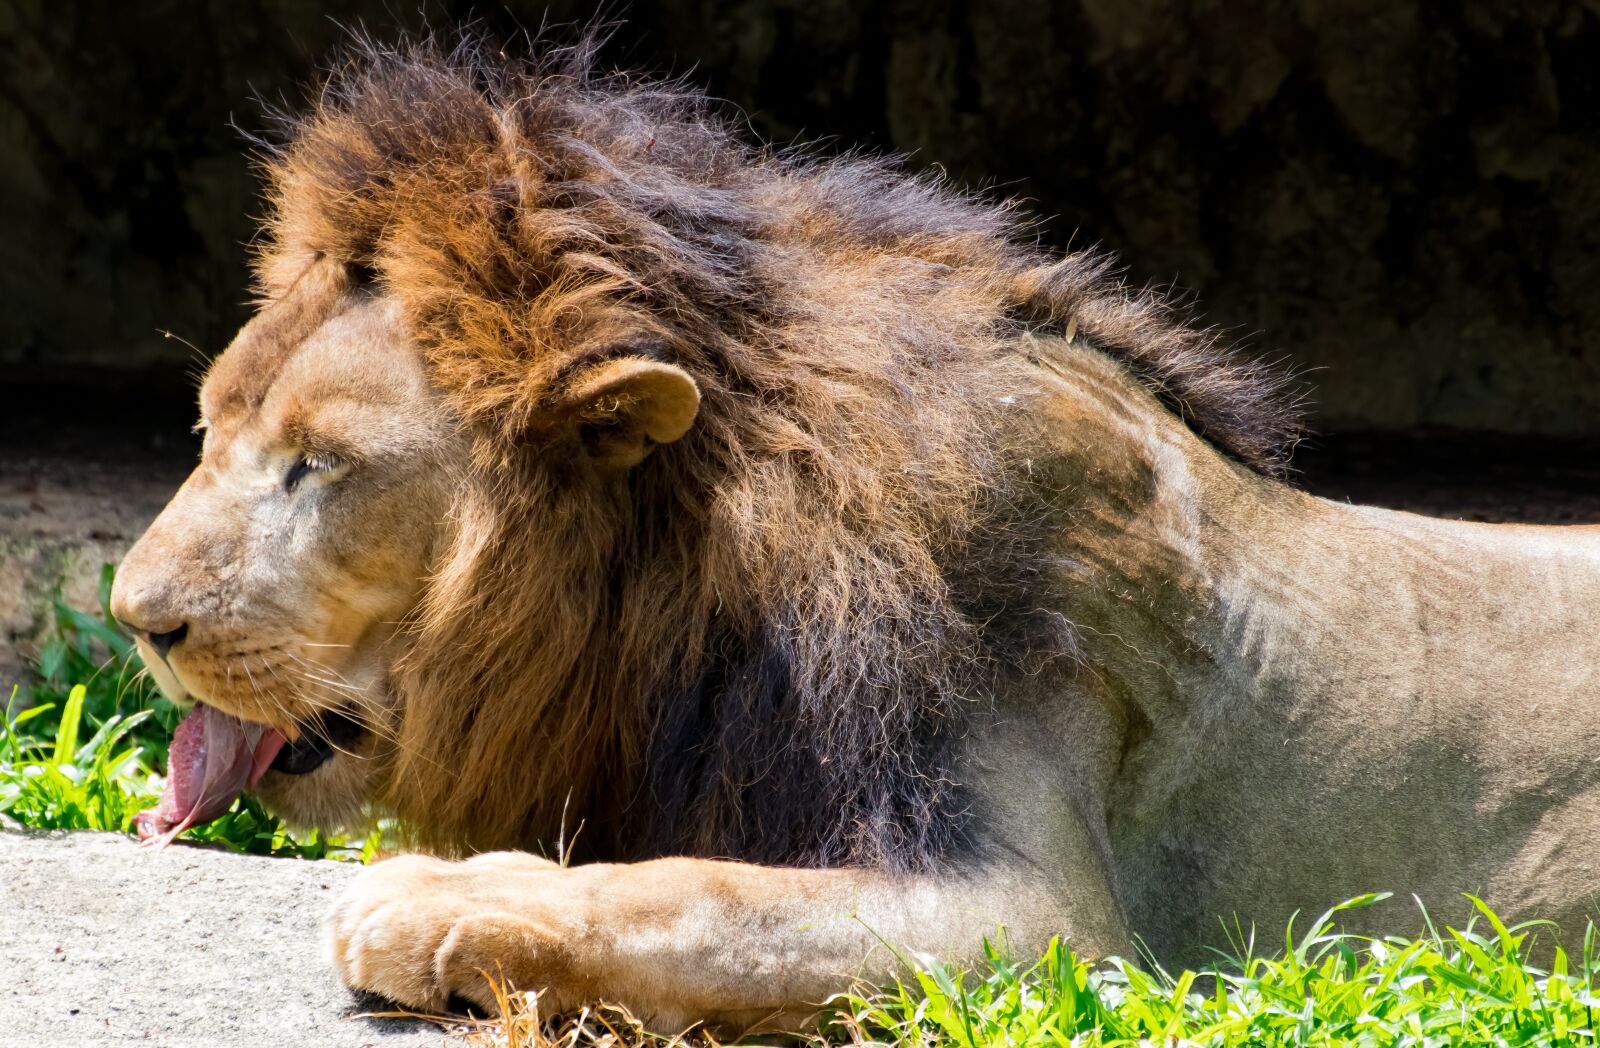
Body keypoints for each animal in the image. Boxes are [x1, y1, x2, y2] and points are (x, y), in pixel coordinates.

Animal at [108, 33, 1600, 1031]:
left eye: (317, 467)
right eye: (207, 427)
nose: (136, 621)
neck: (681, 591)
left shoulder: (1042, 922)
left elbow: (693, 897)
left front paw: (434, 901)